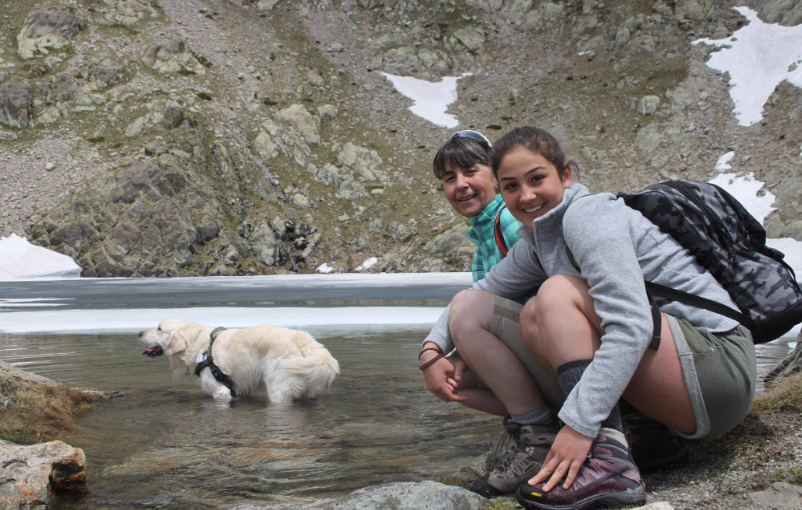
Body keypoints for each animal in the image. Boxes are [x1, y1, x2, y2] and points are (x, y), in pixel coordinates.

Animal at [138, 318, 338, 402]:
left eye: (159, 328)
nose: (139, 333)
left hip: (278, 386)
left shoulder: (219, 390)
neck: (199, 345)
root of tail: (306, 341)